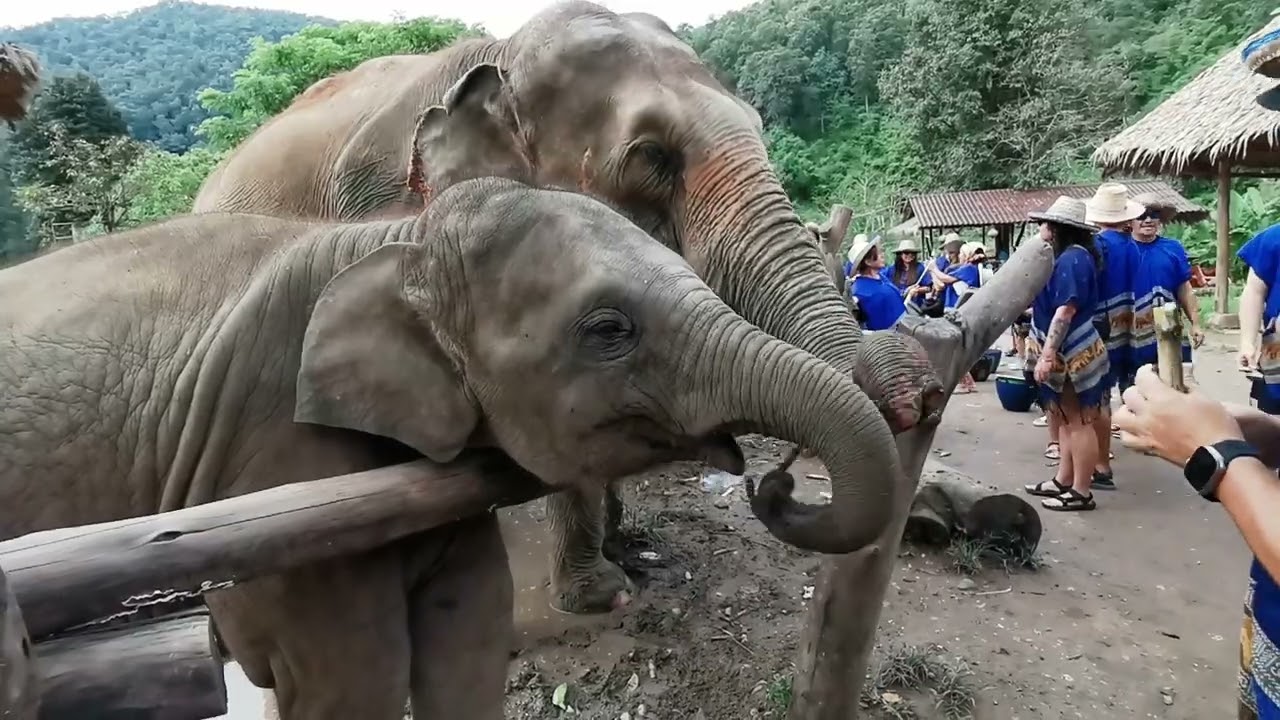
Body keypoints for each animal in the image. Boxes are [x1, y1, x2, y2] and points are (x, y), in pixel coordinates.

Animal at [0, 177, 907, 719]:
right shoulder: (276, 462)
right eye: (608, 331)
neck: (402, 241)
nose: (777, 485)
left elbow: (470, 633)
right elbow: (351, 679)